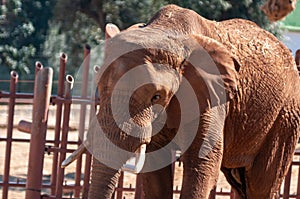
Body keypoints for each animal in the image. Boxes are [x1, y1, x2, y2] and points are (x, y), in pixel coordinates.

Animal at [64, 3, 300, 199]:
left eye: (156, 97)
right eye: (99, 88)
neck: (167, 30)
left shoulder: (214, 97)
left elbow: (202, 162)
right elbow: (155, 166)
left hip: (286, 115)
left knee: (262, 183)